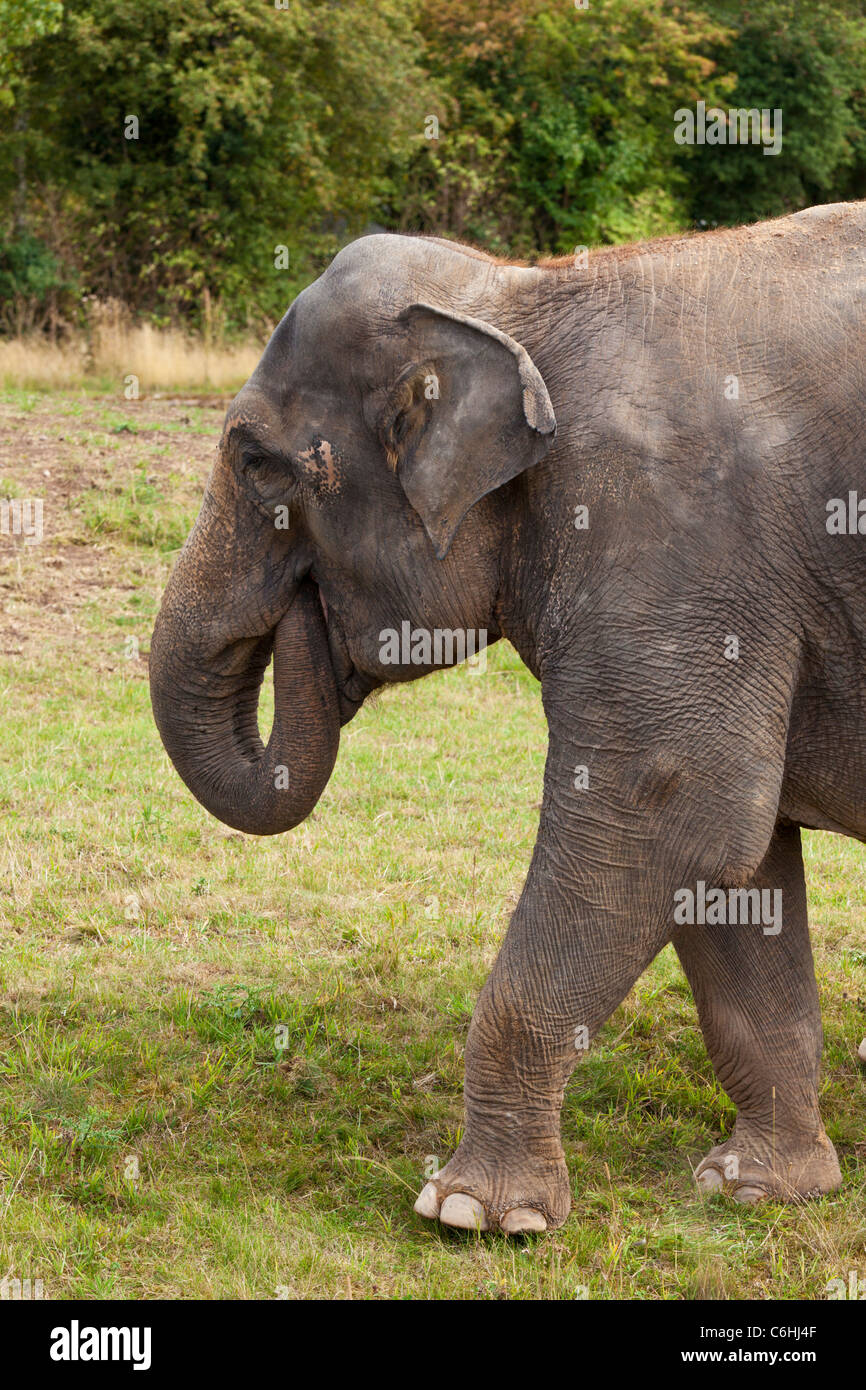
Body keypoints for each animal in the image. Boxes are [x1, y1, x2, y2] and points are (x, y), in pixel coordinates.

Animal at [152, 198, 866, 1239]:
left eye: (254, 464)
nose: (303, 622)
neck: (520, 294)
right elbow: (734, 860)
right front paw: (757, 1187)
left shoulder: (671, 543)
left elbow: (673, 810)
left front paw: (472, 1214)